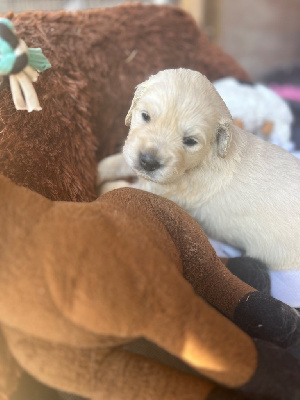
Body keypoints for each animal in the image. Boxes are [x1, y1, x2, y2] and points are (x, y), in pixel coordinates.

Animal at [98, 69, 300, 276]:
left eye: (190, 141)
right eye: (145, 116)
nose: (148, 162)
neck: (206, 157)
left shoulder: (163, 190)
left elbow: (122, 188)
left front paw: (103, 188)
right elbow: (120, 162)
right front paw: (100, 169)